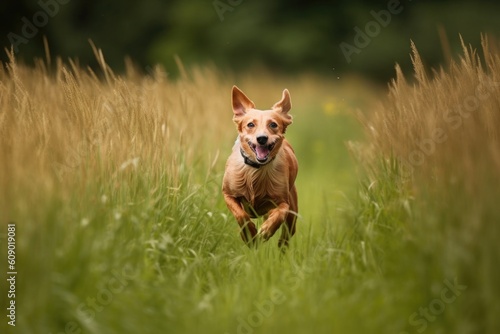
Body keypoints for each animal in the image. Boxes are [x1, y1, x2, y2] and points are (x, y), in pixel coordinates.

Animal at [222, 86, 298, 248]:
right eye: (250, 124)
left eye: (273, 124)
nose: (262, 138)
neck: (255, 170)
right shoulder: (228, 194)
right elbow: (241, 214)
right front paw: (249, 234)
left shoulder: (283, 200)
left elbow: (281, 211)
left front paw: (267, 230)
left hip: (292, 215)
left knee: (285, 236)